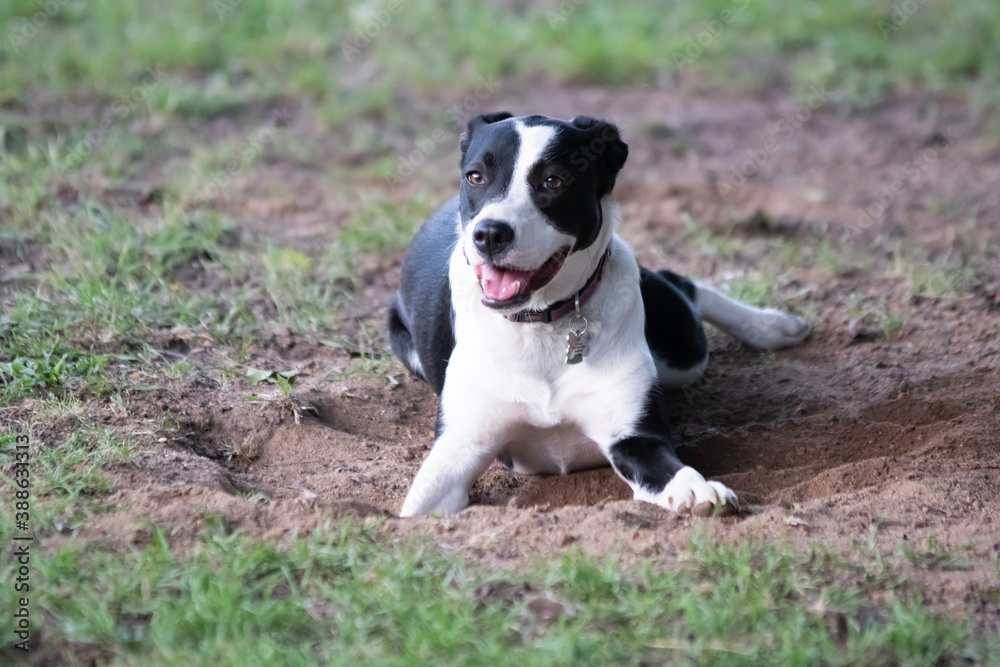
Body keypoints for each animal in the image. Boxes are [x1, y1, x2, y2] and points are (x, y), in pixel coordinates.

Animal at [386, 115, 808, 520]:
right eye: (475, 176)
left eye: (553, 180)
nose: (489, 234)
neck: (542, 322)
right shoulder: (458, 447)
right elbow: (416, 510)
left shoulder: (635, 439)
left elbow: (676, 470)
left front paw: (699, 489)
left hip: (681, 356)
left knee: (681, 286)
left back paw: (774, 326)